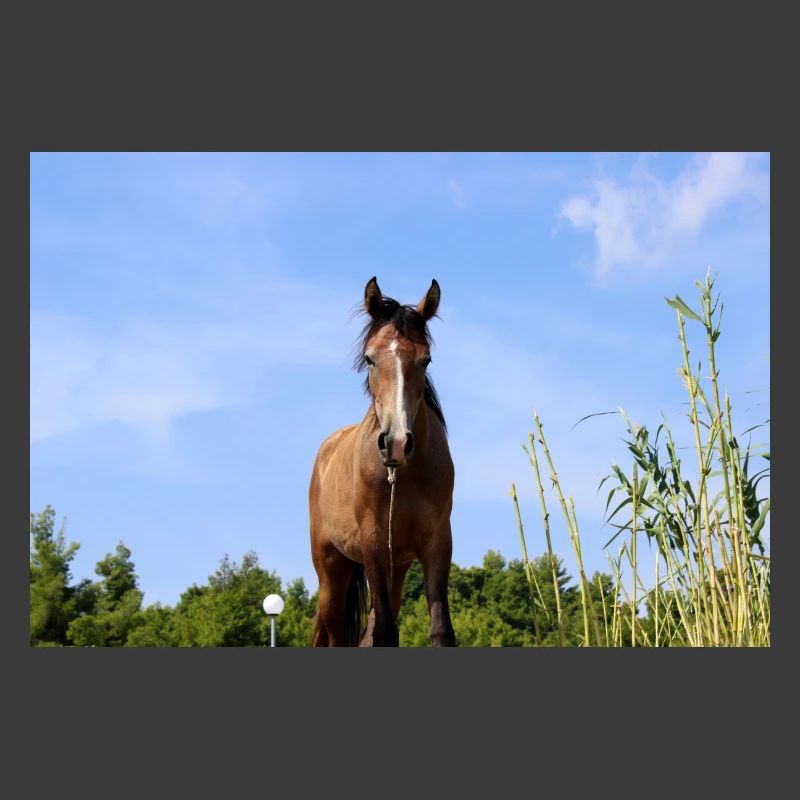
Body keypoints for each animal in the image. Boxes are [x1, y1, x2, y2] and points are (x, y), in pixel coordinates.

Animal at [308, 276, 456, 647]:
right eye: (370, 358)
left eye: (425, 360)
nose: (397, 443)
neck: (404, 476)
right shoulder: (372, 542)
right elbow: (386, 633)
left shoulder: (437, 542)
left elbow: (440, 630)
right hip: (331, 570)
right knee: (336, 633)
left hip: (396, 568)